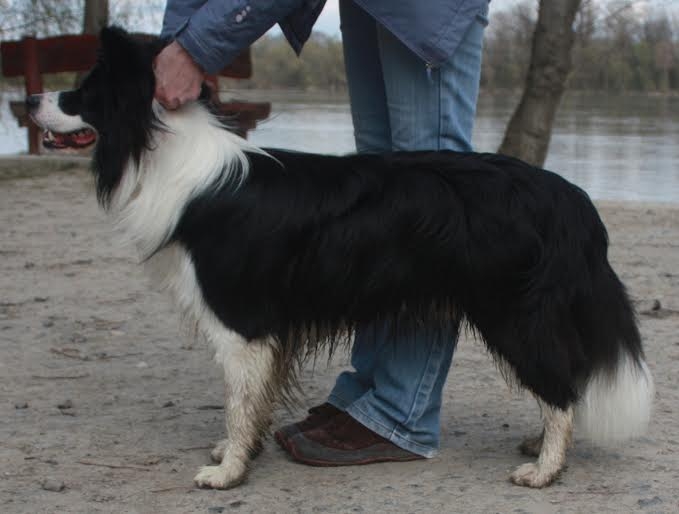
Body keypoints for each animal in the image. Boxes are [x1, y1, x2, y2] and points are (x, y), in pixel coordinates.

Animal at [27, 27, 654, 490]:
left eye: (82, 92)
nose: (29, 98)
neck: (164, 148)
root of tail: (570, 199)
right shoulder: (268, 328)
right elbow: (254, 400)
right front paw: (241, 451)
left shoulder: (239, 320)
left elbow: (237, 399)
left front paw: (227, 472)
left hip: (514, 310)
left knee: (562, 385)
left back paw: (544, 468)